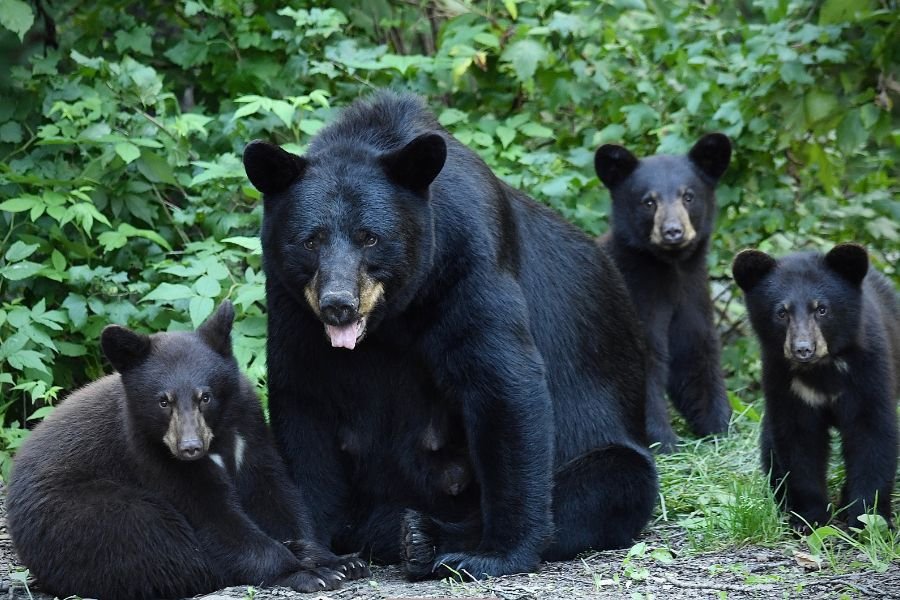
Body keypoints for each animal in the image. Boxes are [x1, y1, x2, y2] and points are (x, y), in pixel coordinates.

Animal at [6, 301, 368, 600]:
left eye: (204, 396)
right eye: (163, 401)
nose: (190, 448)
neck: (217, 439)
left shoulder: (249, 429)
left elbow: (274, 494)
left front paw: (336, 559)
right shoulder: (150, 456)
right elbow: (214, 519)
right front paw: (308, 572)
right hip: (83, 515)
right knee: (156, 545)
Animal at [242, 91, 658, 580]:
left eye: (370, 237)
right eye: (311, 241)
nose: (338, 303)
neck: (392, 315)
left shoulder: (467, 259)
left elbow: (502, 383)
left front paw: (499, 552)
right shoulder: (291, 301)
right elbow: (303, 402)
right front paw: (321, 559)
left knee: (610, 483)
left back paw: (422, 538)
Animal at [594, 134, 734, 451]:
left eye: (688, 196)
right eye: (649, 201)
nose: (673, 231)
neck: (670, 270)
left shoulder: (692, 296)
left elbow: (695, 356)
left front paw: (721, 428)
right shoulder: (636, 298)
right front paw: (665, 441)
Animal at [732, 243, 899, 531]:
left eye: (821, 309)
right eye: (782, 312)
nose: (803, 349)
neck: (822, 369)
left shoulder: (868, 370)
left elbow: (872, 433)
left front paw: (867, 519)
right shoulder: (783, 380)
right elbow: (799, 443)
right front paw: (809, 519)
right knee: (770, 447)